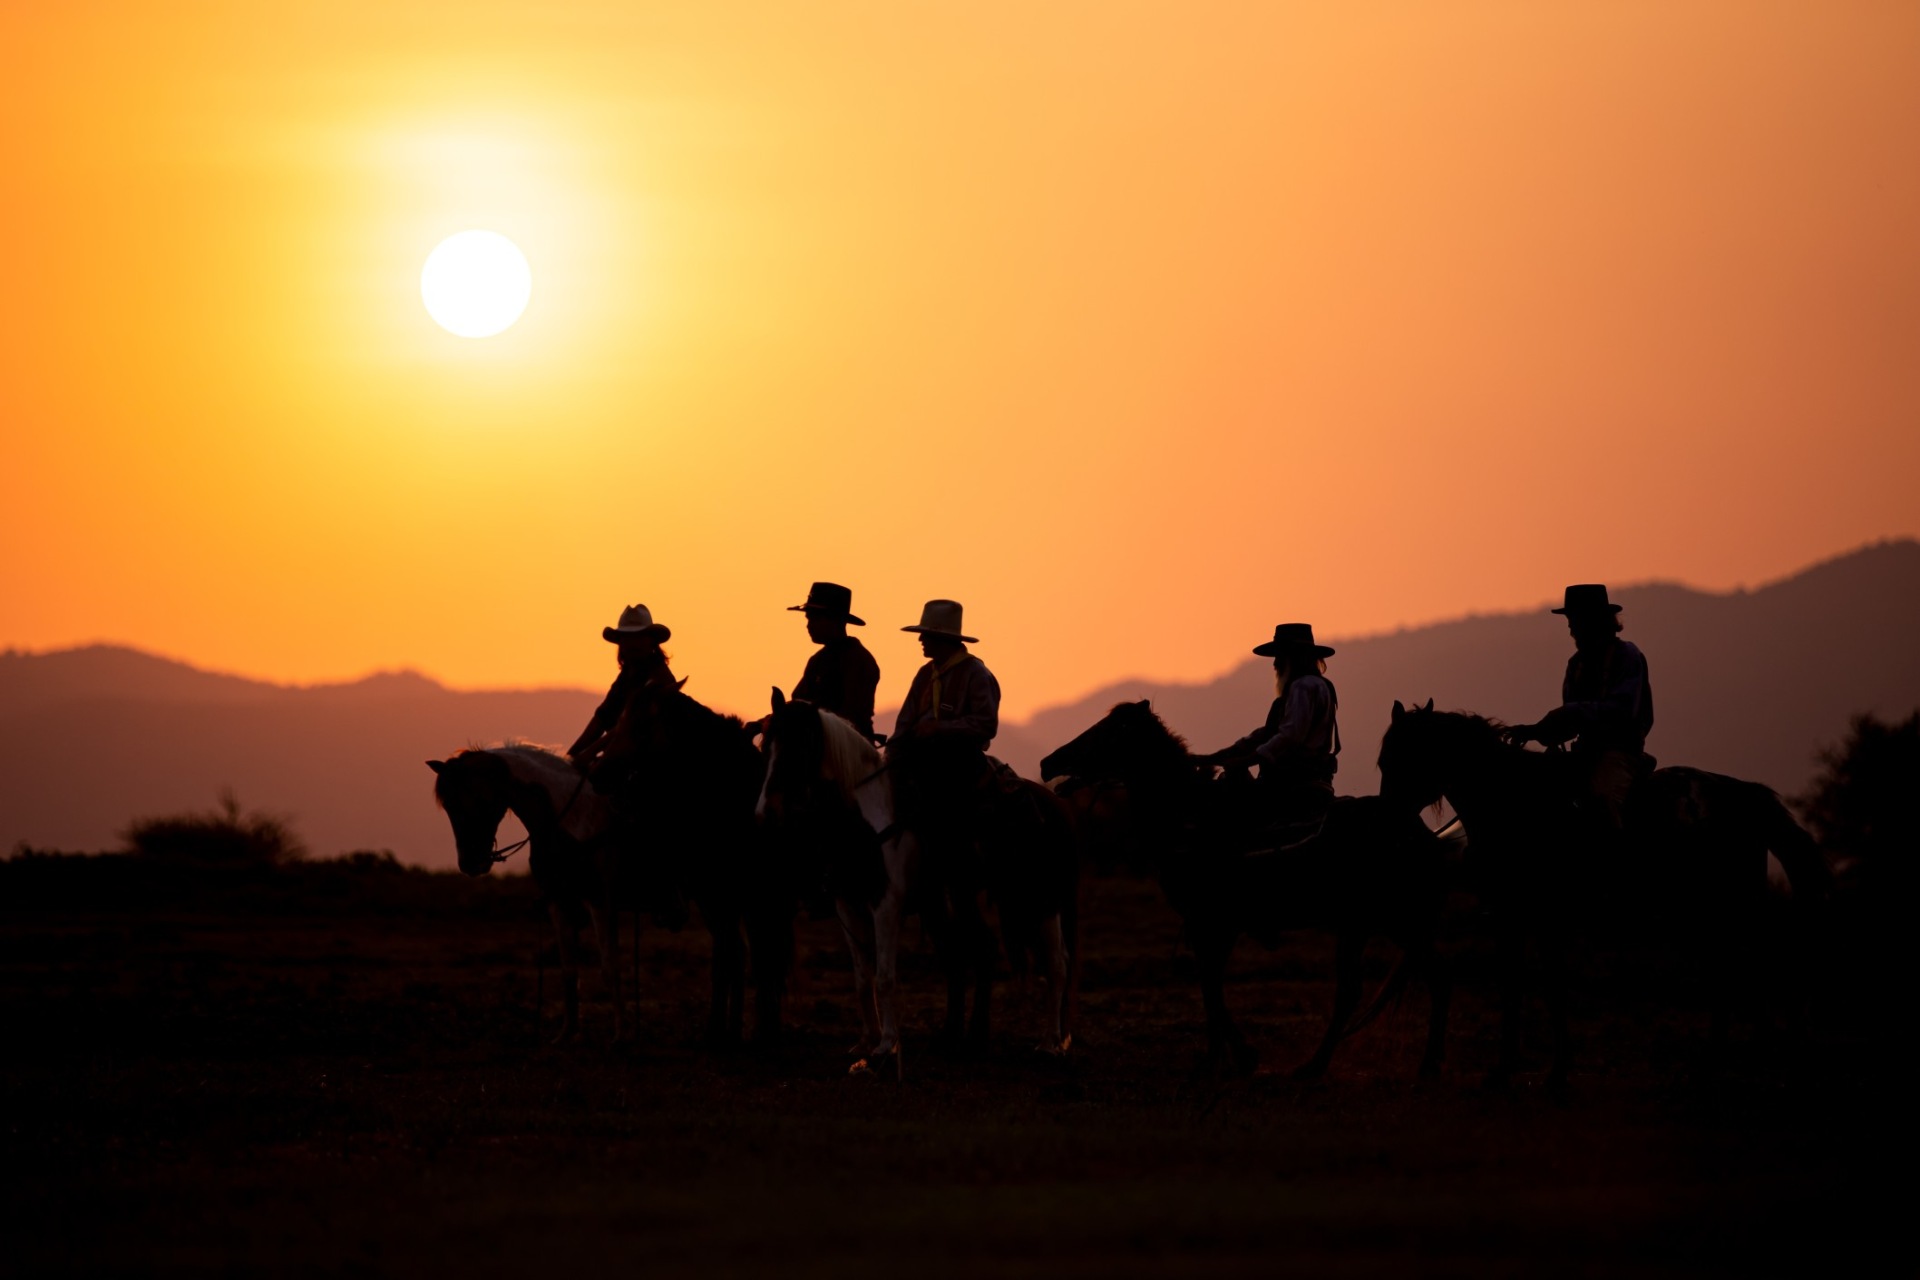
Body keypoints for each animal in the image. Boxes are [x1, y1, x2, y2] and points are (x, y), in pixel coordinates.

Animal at [426, 744, 629, 1043]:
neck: (573, 820)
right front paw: (567, 1033)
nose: (470, 864)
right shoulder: (559, 901)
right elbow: (569, 968)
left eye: (479, 800)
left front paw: (621, 1035)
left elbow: (610, 967)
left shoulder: (600, 899)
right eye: (449, 805)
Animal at [752, 687, 917, 1074]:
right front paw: (867, 1041)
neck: (865, 823)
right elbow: (862, 979)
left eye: (798, 748)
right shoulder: (847, 902)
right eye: (766, 745)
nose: (765, 814)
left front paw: (887, 1045)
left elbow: (885, 977)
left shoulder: (886, 904)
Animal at [1044, 702, 1443, 1082]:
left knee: (1392, 981)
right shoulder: (1211, 925)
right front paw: (1221, 1057)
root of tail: (1417, 830)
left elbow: (1210, 985)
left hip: (1377, 920)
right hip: (1375, 922)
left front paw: (1235, 1057)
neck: (1190, 819)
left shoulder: (1213, 922)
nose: (1050, 763)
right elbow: (1210, 984)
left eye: (1108, 731)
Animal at [1382, 702, 1827, 1090]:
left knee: (1749, 972)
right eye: (1384, 761)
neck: (1516, 803)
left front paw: (1551, 1072)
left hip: (1723, 911)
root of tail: (1740, 794)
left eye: (1404, 758)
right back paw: (1718, 1067)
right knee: (1734, 974)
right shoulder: (1513, 915)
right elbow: (1516, 984)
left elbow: (1548, 985)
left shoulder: (1542, 917)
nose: (1391, 819)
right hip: (1707, 916)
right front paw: (1512, 1070)